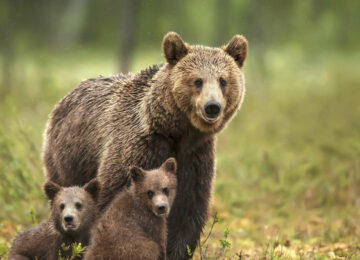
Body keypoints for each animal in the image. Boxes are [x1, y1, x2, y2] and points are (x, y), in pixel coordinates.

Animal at [40, 31, 246, 258]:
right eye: (197, 81)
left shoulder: (195, 158)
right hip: (68, 157)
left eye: (223, 80)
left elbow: (187, 213)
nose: (212, 107)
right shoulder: (138, 149)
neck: (177, 132)